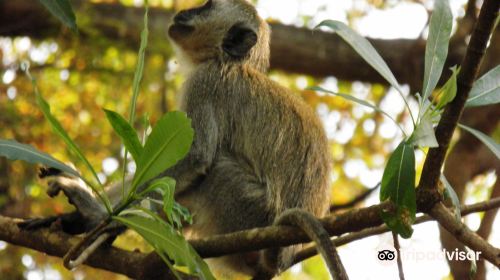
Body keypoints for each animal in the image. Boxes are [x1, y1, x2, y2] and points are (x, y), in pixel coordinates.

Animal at [21, 0, 346, 278]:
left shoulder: (204, 83)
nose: (185, 10)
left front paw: (101, 214)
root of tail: (281, 256)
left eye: (206, 6)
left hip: (248, 212)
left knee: (216, 171)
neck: (227, 61)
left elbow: (197, 157)